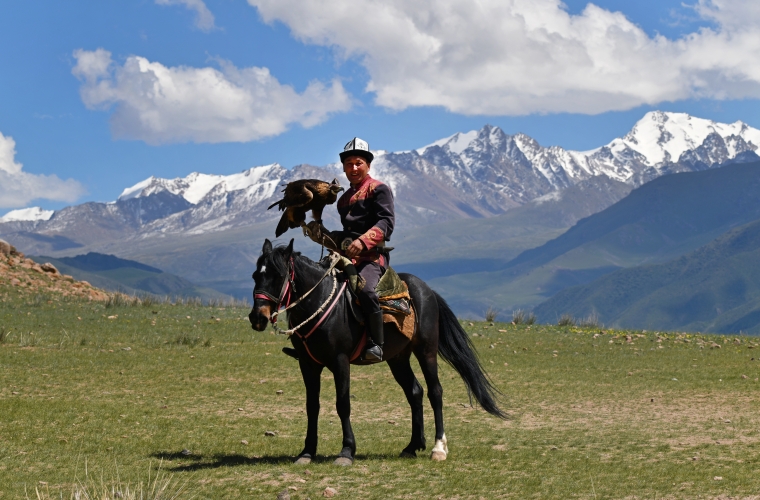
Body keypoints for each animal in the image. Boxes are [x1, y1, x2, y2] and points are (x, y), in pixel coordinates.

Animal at [246, 238, 504, 464]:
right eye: (256, 275)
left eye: (278, 276)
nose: (258, 317)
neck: (319, 302)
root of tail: (427, 290)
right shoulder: (308, 364)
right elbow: (312, 406)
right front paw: (307, 451)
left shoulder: (340, 361)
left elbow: (343, 404)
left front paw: (347, 451)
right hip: (398, 358)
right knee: (415, 392)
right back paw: (412, 446)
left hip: (426, 351)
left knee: (435, 392)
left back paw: (438, 448)